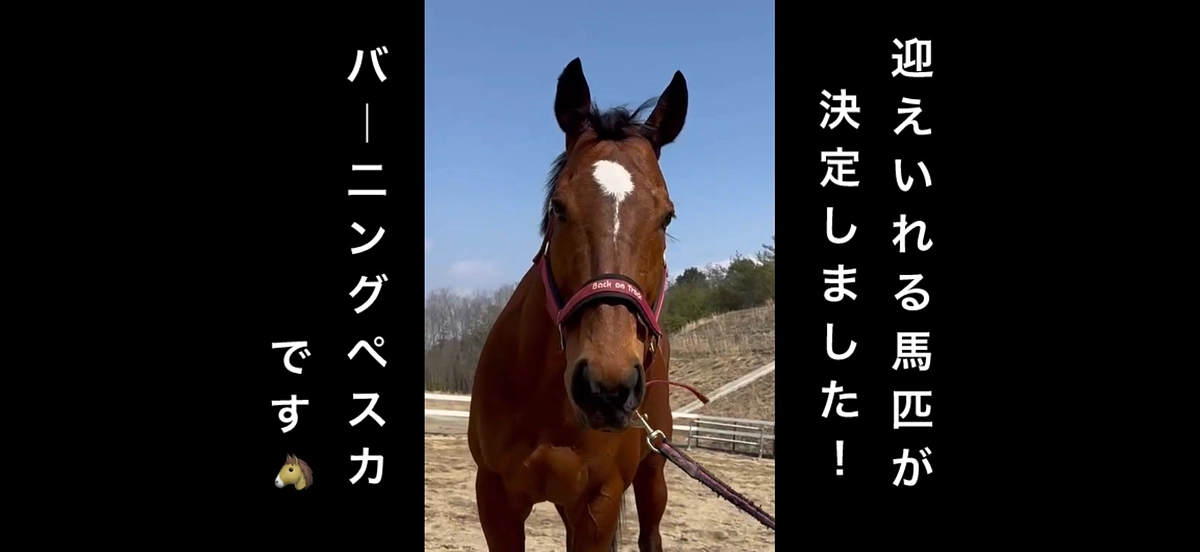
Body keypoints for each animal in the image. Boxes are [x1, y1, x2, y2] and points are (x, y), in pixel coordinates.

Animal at [467, 57, 689, 552]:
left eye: (667, 217)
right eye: (558, 206)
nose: (606, 387)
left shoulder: (597, 504)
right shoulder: (495, 498)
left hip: (653, 474)